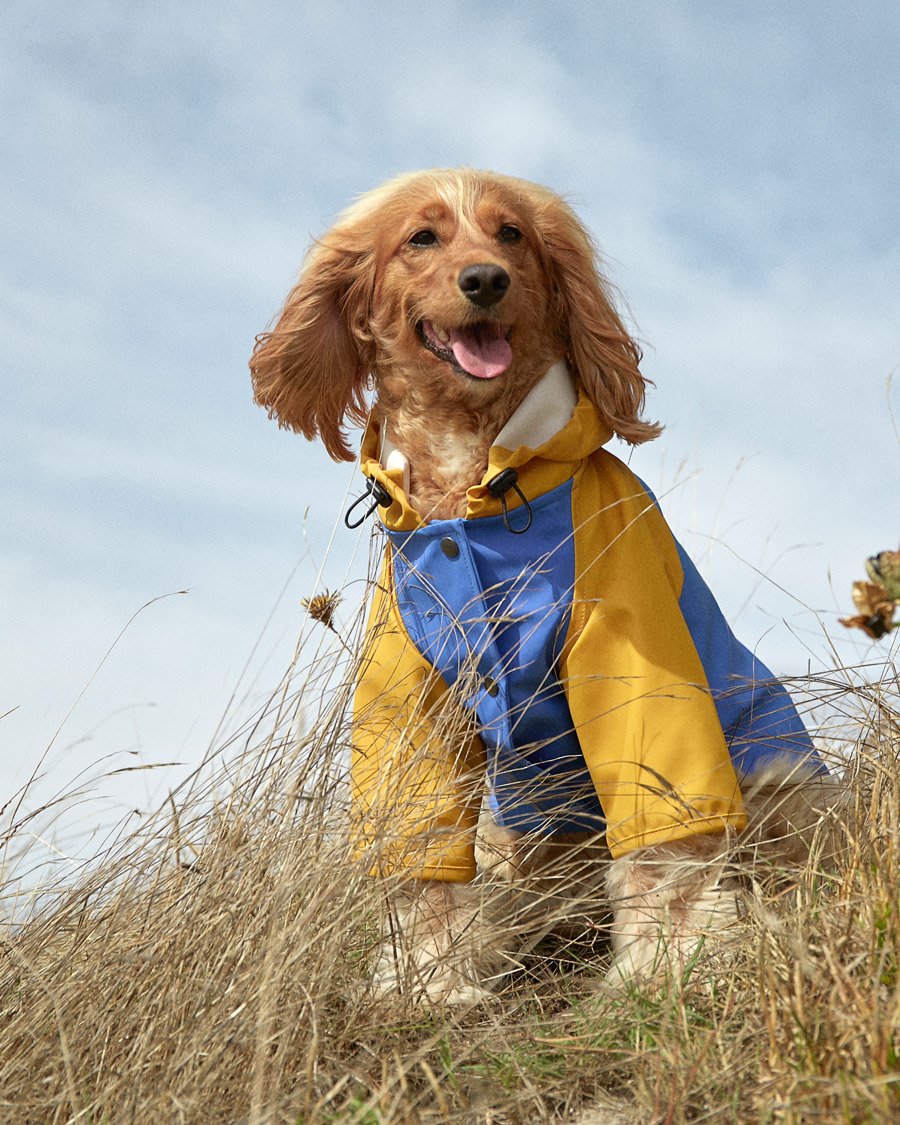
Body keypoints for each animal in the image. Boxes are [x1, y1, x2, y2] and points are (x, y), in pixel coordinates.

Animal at [247, 166, 837, 1003]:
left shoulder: (628, 660)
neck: (472, 482)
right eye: (421, 237)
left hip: (774, 776)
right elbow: (425, 857)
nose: (486, 279)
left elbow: (666, 846)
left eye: (511, 234)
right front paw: (431, 979)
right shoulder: (413, 693)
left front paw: (673, 966)